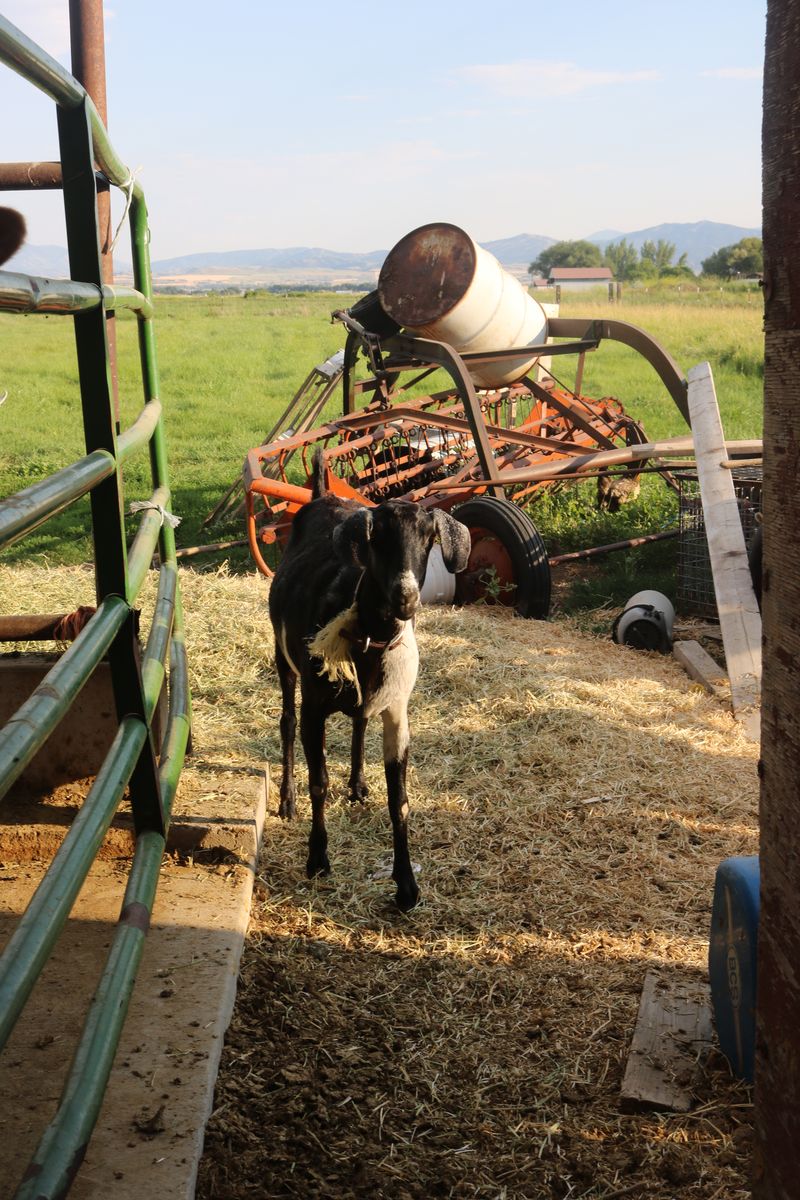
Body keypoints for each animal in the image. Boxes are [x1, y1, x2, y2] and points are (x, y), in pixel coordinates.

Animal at [268, 453, 471, 910]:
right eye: (376, 537)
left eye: (430, 538)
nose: (406, 597)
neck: (369, 636)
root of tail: (321, 494)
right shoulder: (315, 707)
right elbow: (319, 782)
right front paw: (318, 859)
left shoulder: (398, 710)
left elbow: (401, 801)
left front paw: (406, 886)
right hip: (282, 657)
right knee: (286, 722)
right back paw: (287, 801)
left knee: (360, 721)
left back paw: (359, 785)